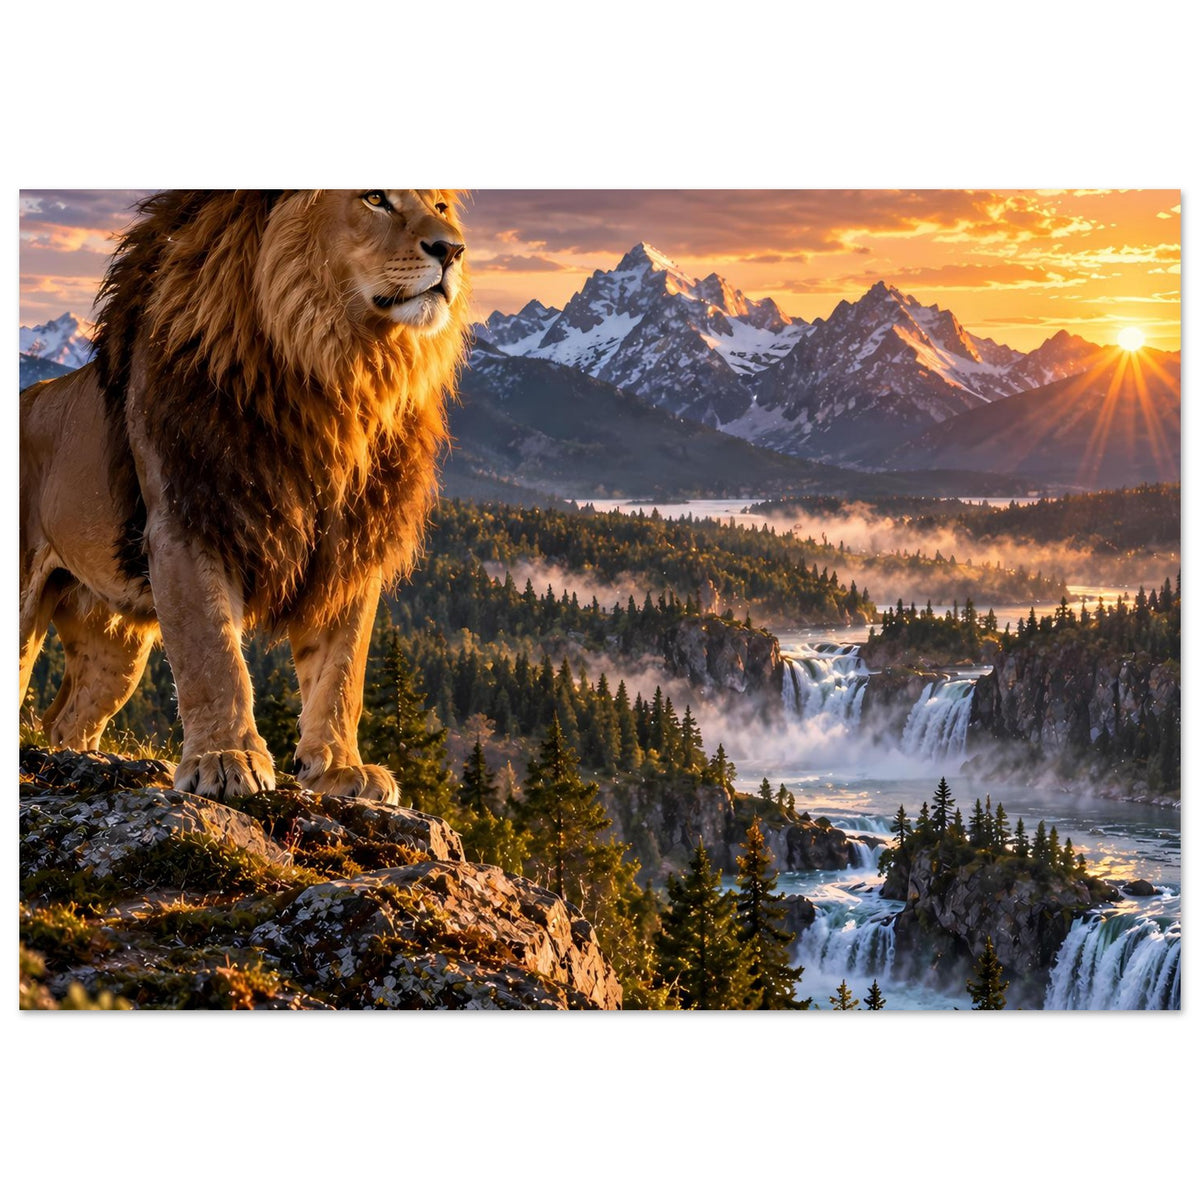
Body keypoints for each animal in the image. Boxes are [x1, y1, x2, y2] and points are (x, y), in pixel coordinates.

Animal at [20, 189, 470, 804]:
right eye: (375, 198)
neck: (335, 370)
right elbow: (213, 654)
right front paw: (225, 757)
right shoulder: (187, 521)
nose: (452, 250)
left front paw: (338, 767)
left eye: (441, 206)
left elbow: (342, 670)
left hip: (114, 645)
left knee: (66, 721)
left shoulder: (350, 548)